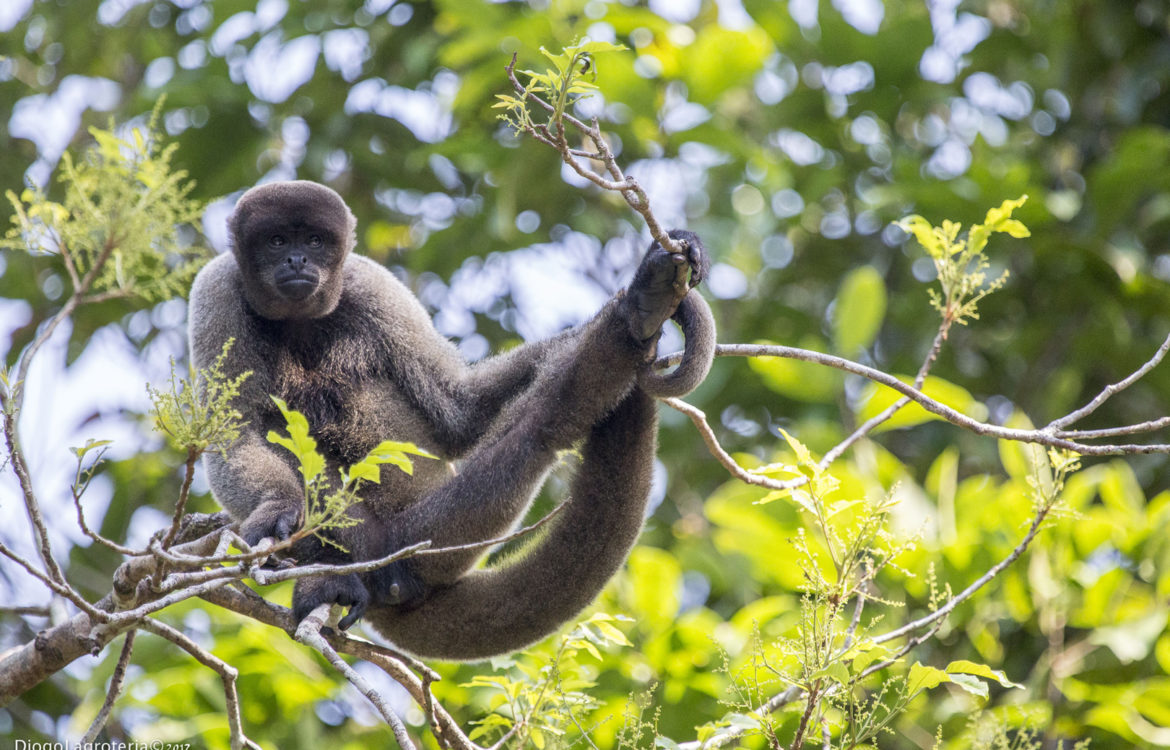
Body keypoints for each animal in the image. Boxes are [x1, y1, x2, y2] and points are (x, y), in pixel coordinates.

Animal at [188, 180, 716, 655]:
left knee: (536, 431)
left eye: (314, 241)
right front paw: (276, 510)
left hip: (425, 536)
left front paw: (638, 303)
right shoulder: (216, 292)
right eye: (277, 241)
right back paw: (329, 577)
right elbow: (235, 434)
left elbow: (459, 411)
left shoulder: (373, 286)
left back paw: (633, 319)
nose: (297, 260)